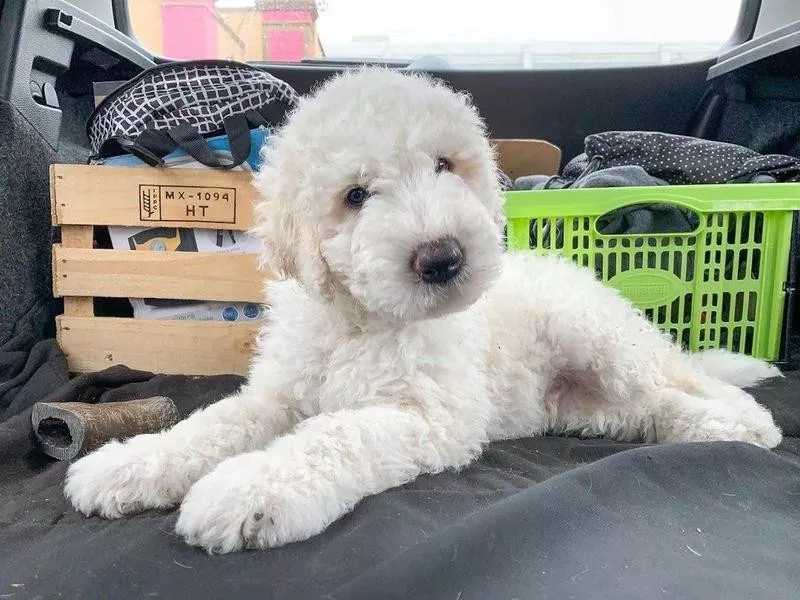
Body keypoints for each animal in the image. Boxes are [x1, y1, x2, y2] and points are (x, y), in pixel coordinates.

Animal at [64, 67, 780, 552]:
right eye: (355, 196)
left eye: (444, 165)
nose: (443, 258)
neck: (362, 321)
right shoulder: (279, 394)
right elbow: (210, 425)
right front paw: (126, 465)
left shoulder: (426, 417)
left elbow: (333, 437)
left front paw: (250, 490)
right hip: (586, 407)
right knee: (647, 412)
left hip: (600, 341)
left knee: (684, 379)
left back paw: (747, 424)